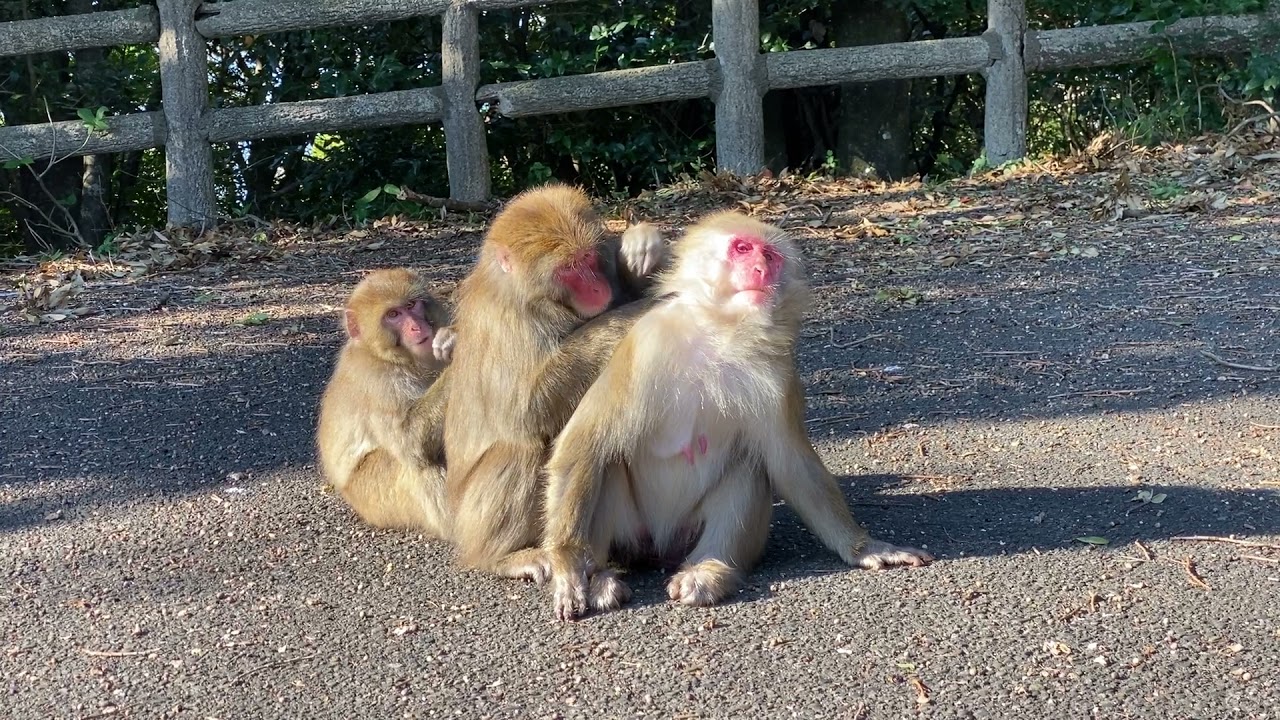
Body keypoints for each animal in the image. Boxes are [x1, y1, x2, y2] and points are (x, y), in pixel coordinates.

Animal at [316, 267, 456, 537]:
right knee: (415, 464)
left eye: (411, 305)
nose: (416, 327)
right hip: (375, 499)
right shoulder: (379, 383)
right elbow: (410, 441)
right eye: (393, 315)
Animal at [437, 182, 667, 582]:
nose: (598, 290)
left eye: (589, 259)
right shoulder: (511, 324)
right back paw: (501, 557)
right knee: (522, 449)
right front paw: (632, 313)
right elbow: (526, 411)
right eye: (569, 269)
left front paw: (641, 245)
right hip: (471, 522)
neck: (534, 296)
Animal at [540, 212, 934, 621]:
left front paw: (865, 548)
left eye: (771, 256)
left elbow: (791, 463)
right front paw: (568, 567)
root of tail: (660, 550)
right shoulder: (644, 346)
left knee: (750, 464)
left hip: (687, 533)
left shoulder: (779, 370)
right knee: (607, 461)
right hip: (632, 534)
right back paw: (600, 576)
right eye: (742, 248)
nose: (761, 269)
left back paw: (710, 570)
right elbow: (583, 445)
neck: (719, 332)